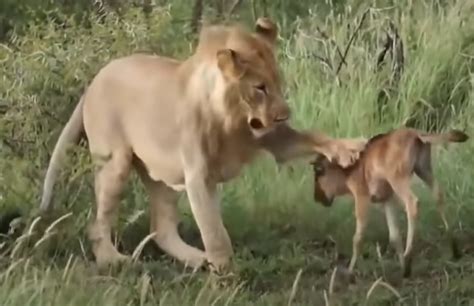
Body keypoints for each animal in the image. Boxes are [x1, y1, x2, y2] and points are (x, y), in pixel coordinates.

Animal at [40, 17, 366, 272]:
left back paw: (197, 259)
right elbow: (215, 232)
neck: (234, 121)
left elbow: (312, 136)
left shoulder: (272, 137)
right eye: (259, 88)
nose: (285, 115)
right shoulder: (198, 175)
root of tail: (93, 82)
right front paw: (227, 274)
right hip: (115, 162)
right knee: (98, 223)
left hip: (163, 175)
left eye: (278, 83)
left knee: (161, 229)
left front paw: (348, 149)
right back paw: (114, 260)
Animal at [310, 126, 468, 278]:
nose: (317, 198)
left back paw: (409, 259)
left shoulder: (361, 198)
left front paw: (349, 271)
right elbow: (394, 235)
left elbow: (358, 237)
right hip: (423, 170)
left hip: (399, 179)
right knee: (438, 194)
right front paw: (401, 265)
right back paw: (454, 248)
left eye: (319, 172)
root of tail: (417, 134)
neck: (352, 168)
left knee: (413, 202)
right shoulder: (388, 200)